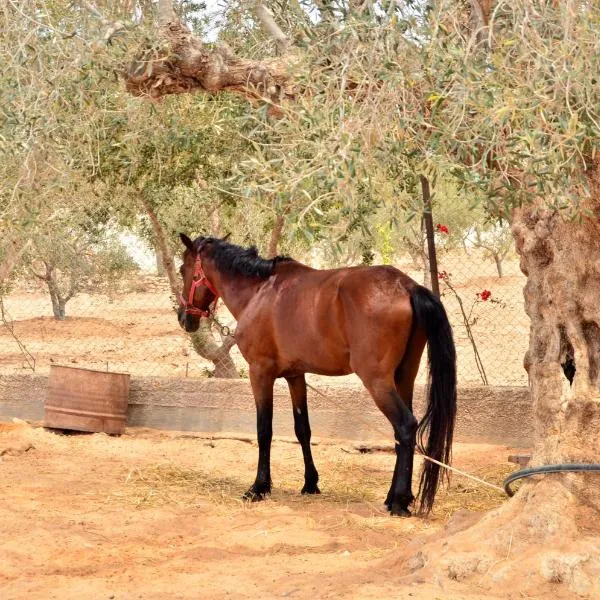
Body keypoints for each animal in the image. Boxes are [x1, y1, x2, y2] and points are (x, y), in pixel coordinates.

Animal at [176, 234, 458, 516]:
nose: (183, 318)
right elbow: (303, 429)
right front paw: (310, 483)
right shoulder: (296, 376)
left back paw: (398, 502)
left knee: (405, 426)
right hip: (403, 378)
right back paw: (397, 497)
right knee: (403, 433)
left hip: (378, 382)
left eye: (182, 270)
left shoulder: (260, 373)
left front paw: (259, 487)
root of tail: (407, 286)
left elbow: (264, 431)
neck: (259, 291)